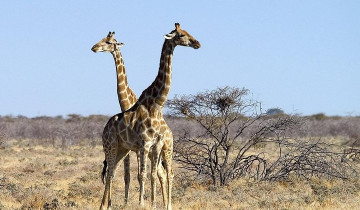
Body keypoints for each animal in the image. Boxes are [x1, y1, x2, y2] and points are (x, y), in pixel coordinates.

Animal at [90, 32, 169, 206]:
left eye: (109, 42)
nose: (94, 47)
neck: (126, 102)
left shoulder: (137, 148)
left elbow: (137, 175)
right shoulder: (130, 147)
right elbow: (126, 175)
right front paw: (122, 202)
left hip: (163, 149)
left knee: (165, 173)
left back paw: (166, 203)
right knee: (160, 172)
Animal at [99, 23, 200, 210]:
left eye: (187, 32)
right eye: (181, 35)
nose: (197, 43)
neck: (156, 105)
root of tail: (105, 127)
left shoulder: (155, 144)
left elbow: (151, 174)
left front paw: (152, 203)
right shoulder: (144, 144)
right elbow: (142, 174)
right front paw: (141, 203)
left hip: (145, 149)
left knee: (165, 172)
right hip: (112, 146)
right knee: (110, 172)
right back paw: (104, 205)